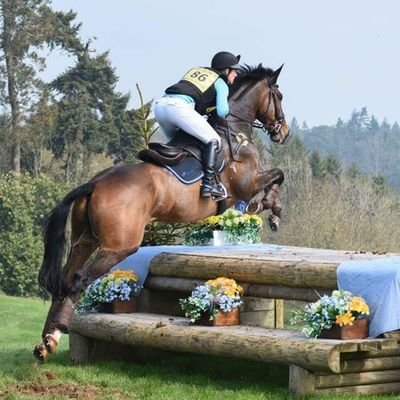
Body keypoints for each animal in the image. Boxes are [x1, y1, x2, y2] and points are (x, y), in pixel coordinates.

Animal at [32, 64, 290, 360]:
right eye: (279, 96)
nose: (284, 132)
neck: (234, 130)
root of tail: (95, 183)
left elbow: (276, 177)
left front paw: (268, 209)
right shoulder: (247, 185)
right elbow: (277, 176)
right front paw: (270, 210)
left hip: (84, 241)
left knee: (64, 280)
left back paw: (47, 341)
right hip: (118, 246)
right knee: (78, 280)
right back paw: (57, 333)